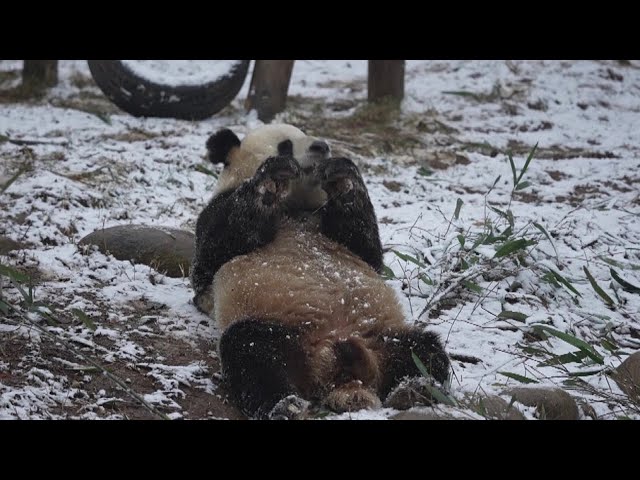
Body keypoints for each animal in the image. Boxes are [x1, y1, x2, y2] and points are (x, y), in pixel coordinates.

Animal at [190, 124, 450, 420]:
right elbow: (212, 253)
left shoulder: (329, 224)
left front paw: (343, 177)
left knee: (424, 350)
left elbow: (365, 248)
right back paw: (285, 405)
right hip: (282, 330)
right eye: (286, 145)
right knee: (250, 352)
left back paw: (415, 388)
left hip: (383, 335)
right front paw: (271, 179)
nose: (322, 146)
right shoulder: (213, 214)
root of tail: (340, 372)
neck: (295, 207)